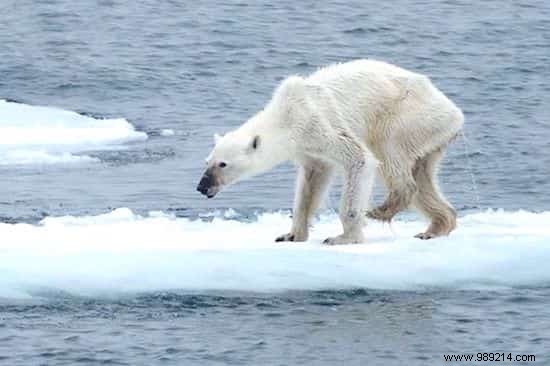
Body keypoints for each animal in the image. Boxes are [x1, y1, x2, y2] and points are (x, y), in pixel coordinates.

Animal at [198, 59, 466, 243]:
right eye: (207, 161)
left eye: (223, 164)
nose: (202, 186)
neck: (287, 114)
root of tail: (455, 112)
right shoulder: (308, 148)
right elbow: (312, 182)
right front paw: (291, 235)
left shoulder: (319, 124)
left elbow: (359, 159)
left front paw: (343, 238)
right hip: (430, 136)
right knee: (422, 176)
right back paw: (435, 227)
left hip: (408, 117)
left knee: (389, 152)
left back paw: (381, 210)